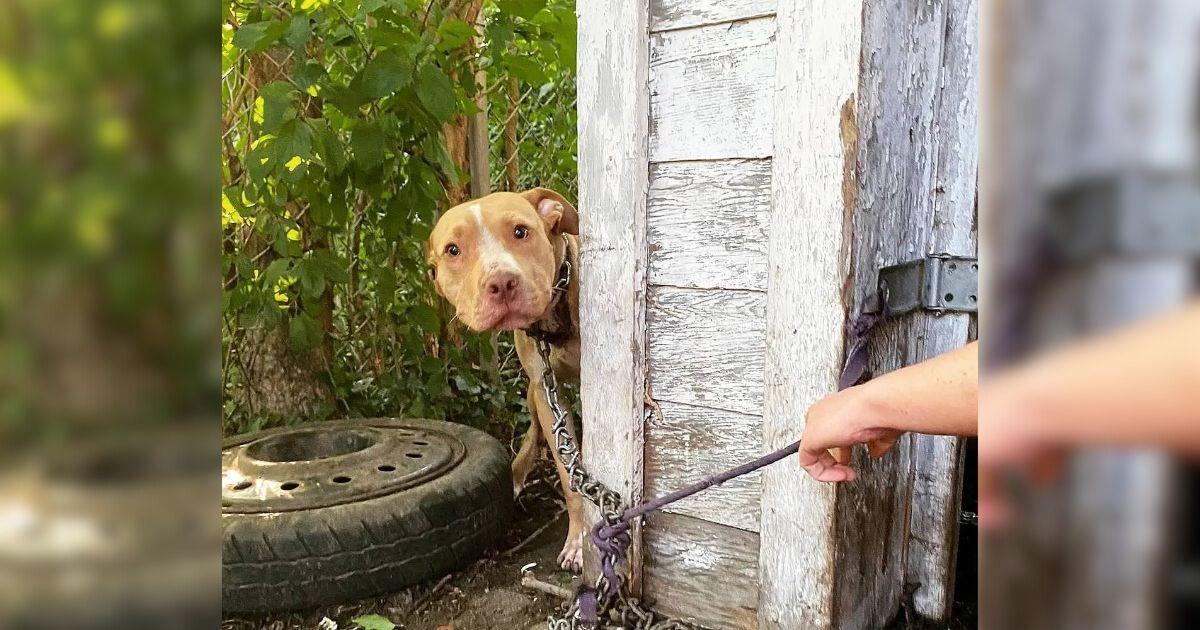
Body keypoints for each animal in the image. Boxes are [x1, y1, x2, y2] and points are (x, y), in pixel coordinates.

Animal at [427, 187, 585, 568]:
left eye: (520, 231)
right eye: (453, 250)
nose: (501, 282)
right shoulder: (546, 391)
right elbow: (568, 472)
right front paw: (580, 538)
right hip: (532, 394)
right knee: (534, 431)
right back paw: (515, 471)